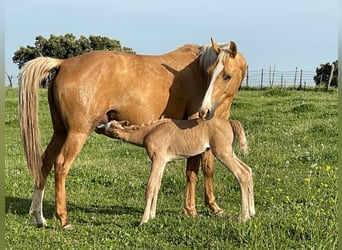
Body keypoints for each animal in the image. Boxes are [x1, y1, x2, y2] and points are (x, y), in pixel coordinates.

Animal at [95, 117, 255, 225]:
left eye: (110, 125)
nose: (97, 127)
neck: (148, 133)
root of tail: (230, 122)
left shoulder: (157, 159)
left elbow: (150, 187)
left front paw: (143, 220)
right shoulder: (162, 162)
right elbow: (157, 186)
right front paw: (152, 215)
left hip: (222, 152)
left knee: (241, 174)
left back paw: (244, 216)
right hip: (229, 152)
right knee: (248, 170)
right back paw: (252, 212)